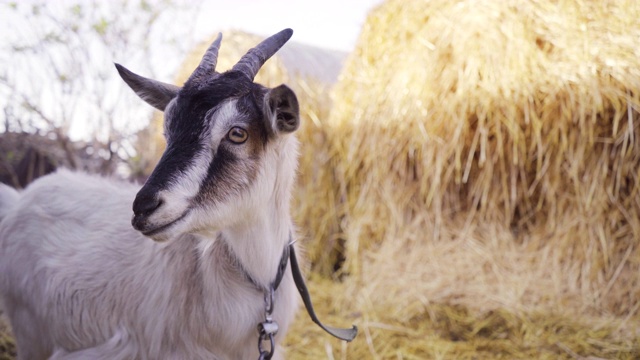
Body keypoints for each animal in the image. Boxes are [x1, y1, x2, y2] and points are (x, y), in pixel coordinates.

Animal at [0, 29, 350, 360]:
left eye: (238, 133)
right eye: (168, 130)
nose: (144, 208)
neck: (256, 281)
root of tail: (19, 200)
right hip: (30, 335)